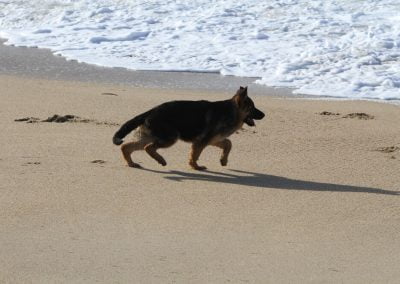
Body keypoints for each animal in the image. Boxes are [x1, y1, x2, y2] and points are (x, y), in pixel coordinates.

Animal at [112, 86, 264, 170]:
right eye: (252, 108)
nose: (264, 115)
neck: (231, 111)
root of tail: (150, 111)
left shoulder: (213, 140)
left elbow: (228, 143)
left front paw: (223, 160)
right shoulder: (201, 142)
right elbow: (195, 155)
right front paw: (195, 167)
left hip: (149, 136)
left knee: (126, 147)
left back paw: (132, 163)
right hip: (171, 137)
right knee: (148, 147)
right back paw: (160, 160)